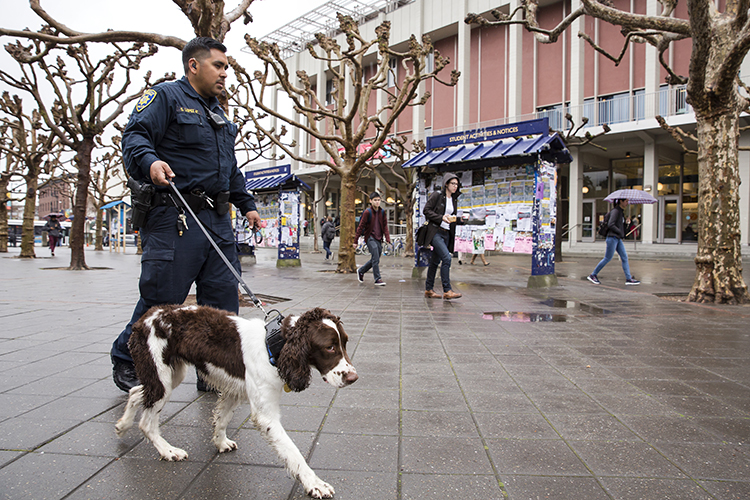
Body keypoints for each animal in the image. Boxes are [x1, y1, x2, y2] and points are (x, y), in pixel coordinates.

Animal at [116, 304, 360, 500]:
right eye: (329, 347)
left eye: (345, 343)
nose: (353, 378)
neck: (274, 347)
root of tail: (146, 316)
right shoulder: (265, 415)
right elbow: (293, 452)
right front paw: (315, 484)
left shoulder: (234, 390)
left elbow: (222, 418)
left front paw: (221, 442)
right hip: (162, 376)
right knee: (147, 422)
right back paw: (168, 451)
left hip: (171, 374)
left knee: (137, 392)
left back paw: (122, 425)